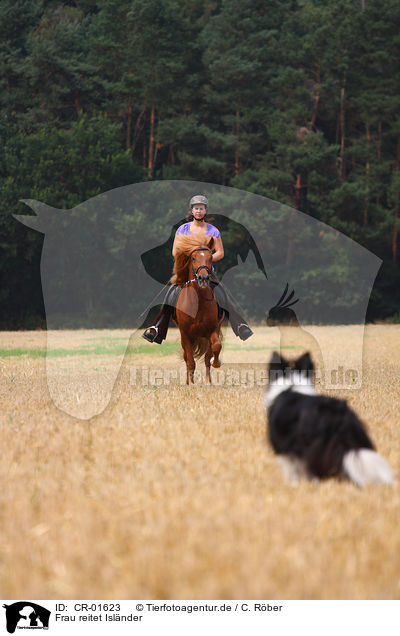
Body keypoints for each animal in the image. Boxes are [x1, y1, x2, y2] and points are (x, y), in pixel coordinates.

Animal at [170, 232, 223, 382]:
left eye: (210, 257)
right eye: (193, 258)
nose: (203, 278)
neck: (198, 302)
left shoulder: (213, 329)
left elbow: (215, 348)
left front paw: (215, 364)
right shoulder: (185, 334)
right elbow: (190, 361)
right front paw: (191, 384)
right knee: (187, 357)